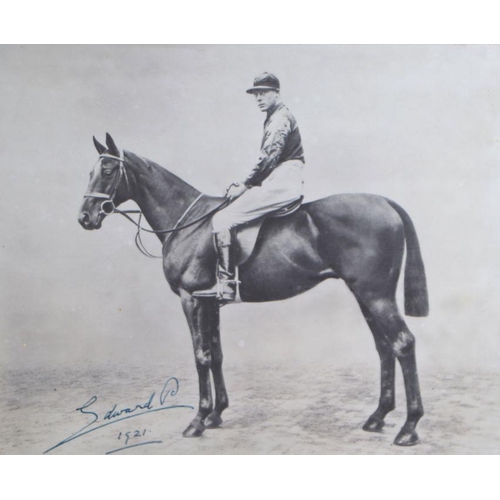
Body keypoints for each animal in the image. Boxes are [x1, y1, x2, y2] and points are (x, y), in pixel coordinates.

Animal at [79, 133, 430, 446]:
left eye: (107, 171)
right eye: (90, 172)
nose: (85, 217)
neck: (189, 222)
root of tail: (386, 203)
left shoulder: (191, 300)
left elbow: (201, 356)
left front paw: (198, 419)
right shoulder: (211, 302)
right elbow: (217, 354)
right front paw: (216, 413)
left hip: (376, 296)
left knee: (403, 343)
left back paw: (409, 427)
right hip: (365, 296)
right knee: (384, 348)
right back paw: (378, 417)